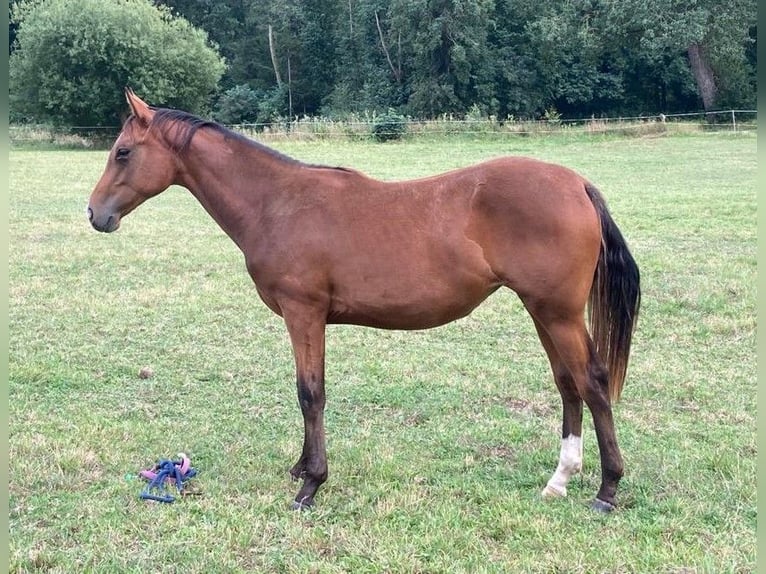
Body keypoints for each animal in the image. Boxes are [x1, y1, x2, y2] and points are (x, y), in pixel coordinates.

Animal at [87, 86, 640, 512]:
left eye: (122, 152)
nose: (95, 214)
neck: (277, 203)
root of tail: (577, 183)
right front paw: (301, 469)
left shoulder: (304, 314)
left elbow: (310, 393)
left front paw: (310, 485)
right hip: (542, 311)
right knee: (568, 384)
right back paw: (559, 480)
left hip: (557, 312)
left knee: (592, 382)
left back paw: (607, 490)